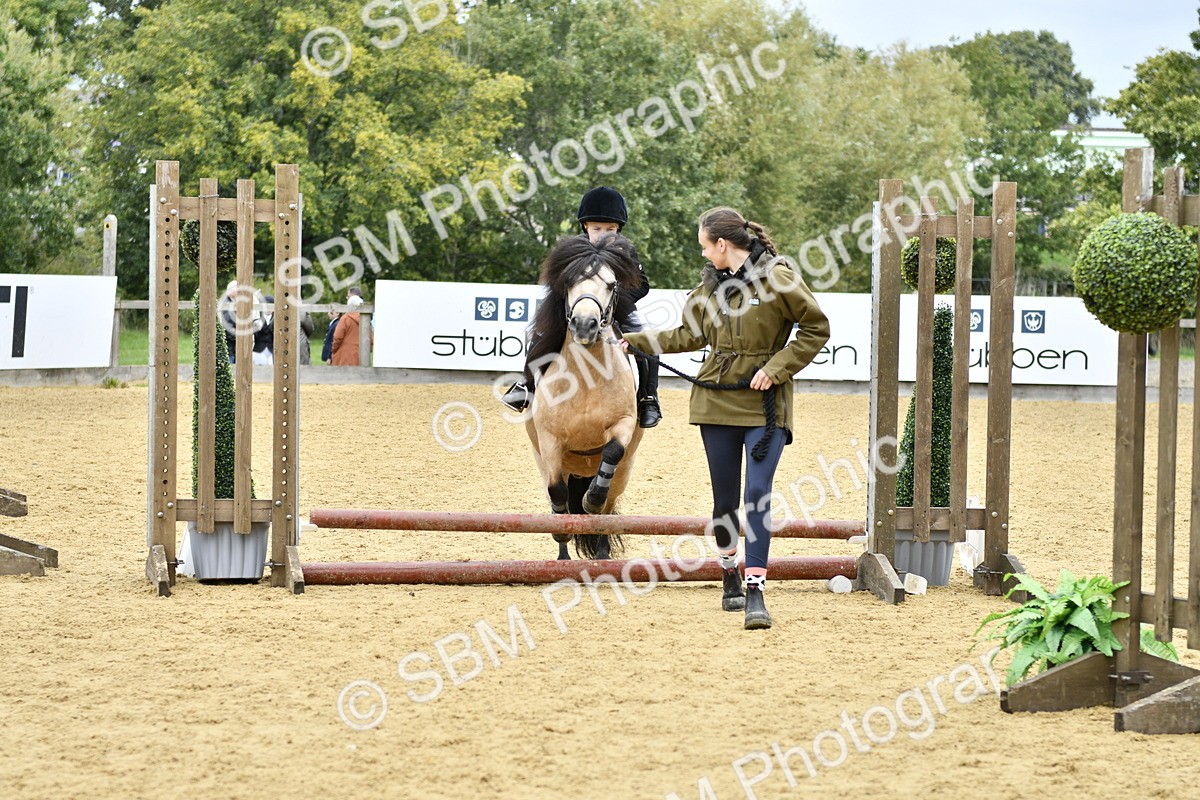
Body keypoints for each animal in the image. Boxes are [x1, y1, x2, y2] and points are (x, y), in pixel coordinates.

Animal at [524, 234, 646, 560]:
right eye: (569, 282)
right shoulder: (550, 441)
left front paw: (592, 500)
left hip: (624, 472)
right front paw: (562, 534)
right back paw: (563, 560)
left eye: (611, 284)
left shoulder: (623, 423)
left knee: (608, 508)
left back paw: (602, 554)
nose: (584, 325)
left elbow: (612, 452)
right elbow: (558, 495)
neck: (585, 376)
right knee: (561, 497)